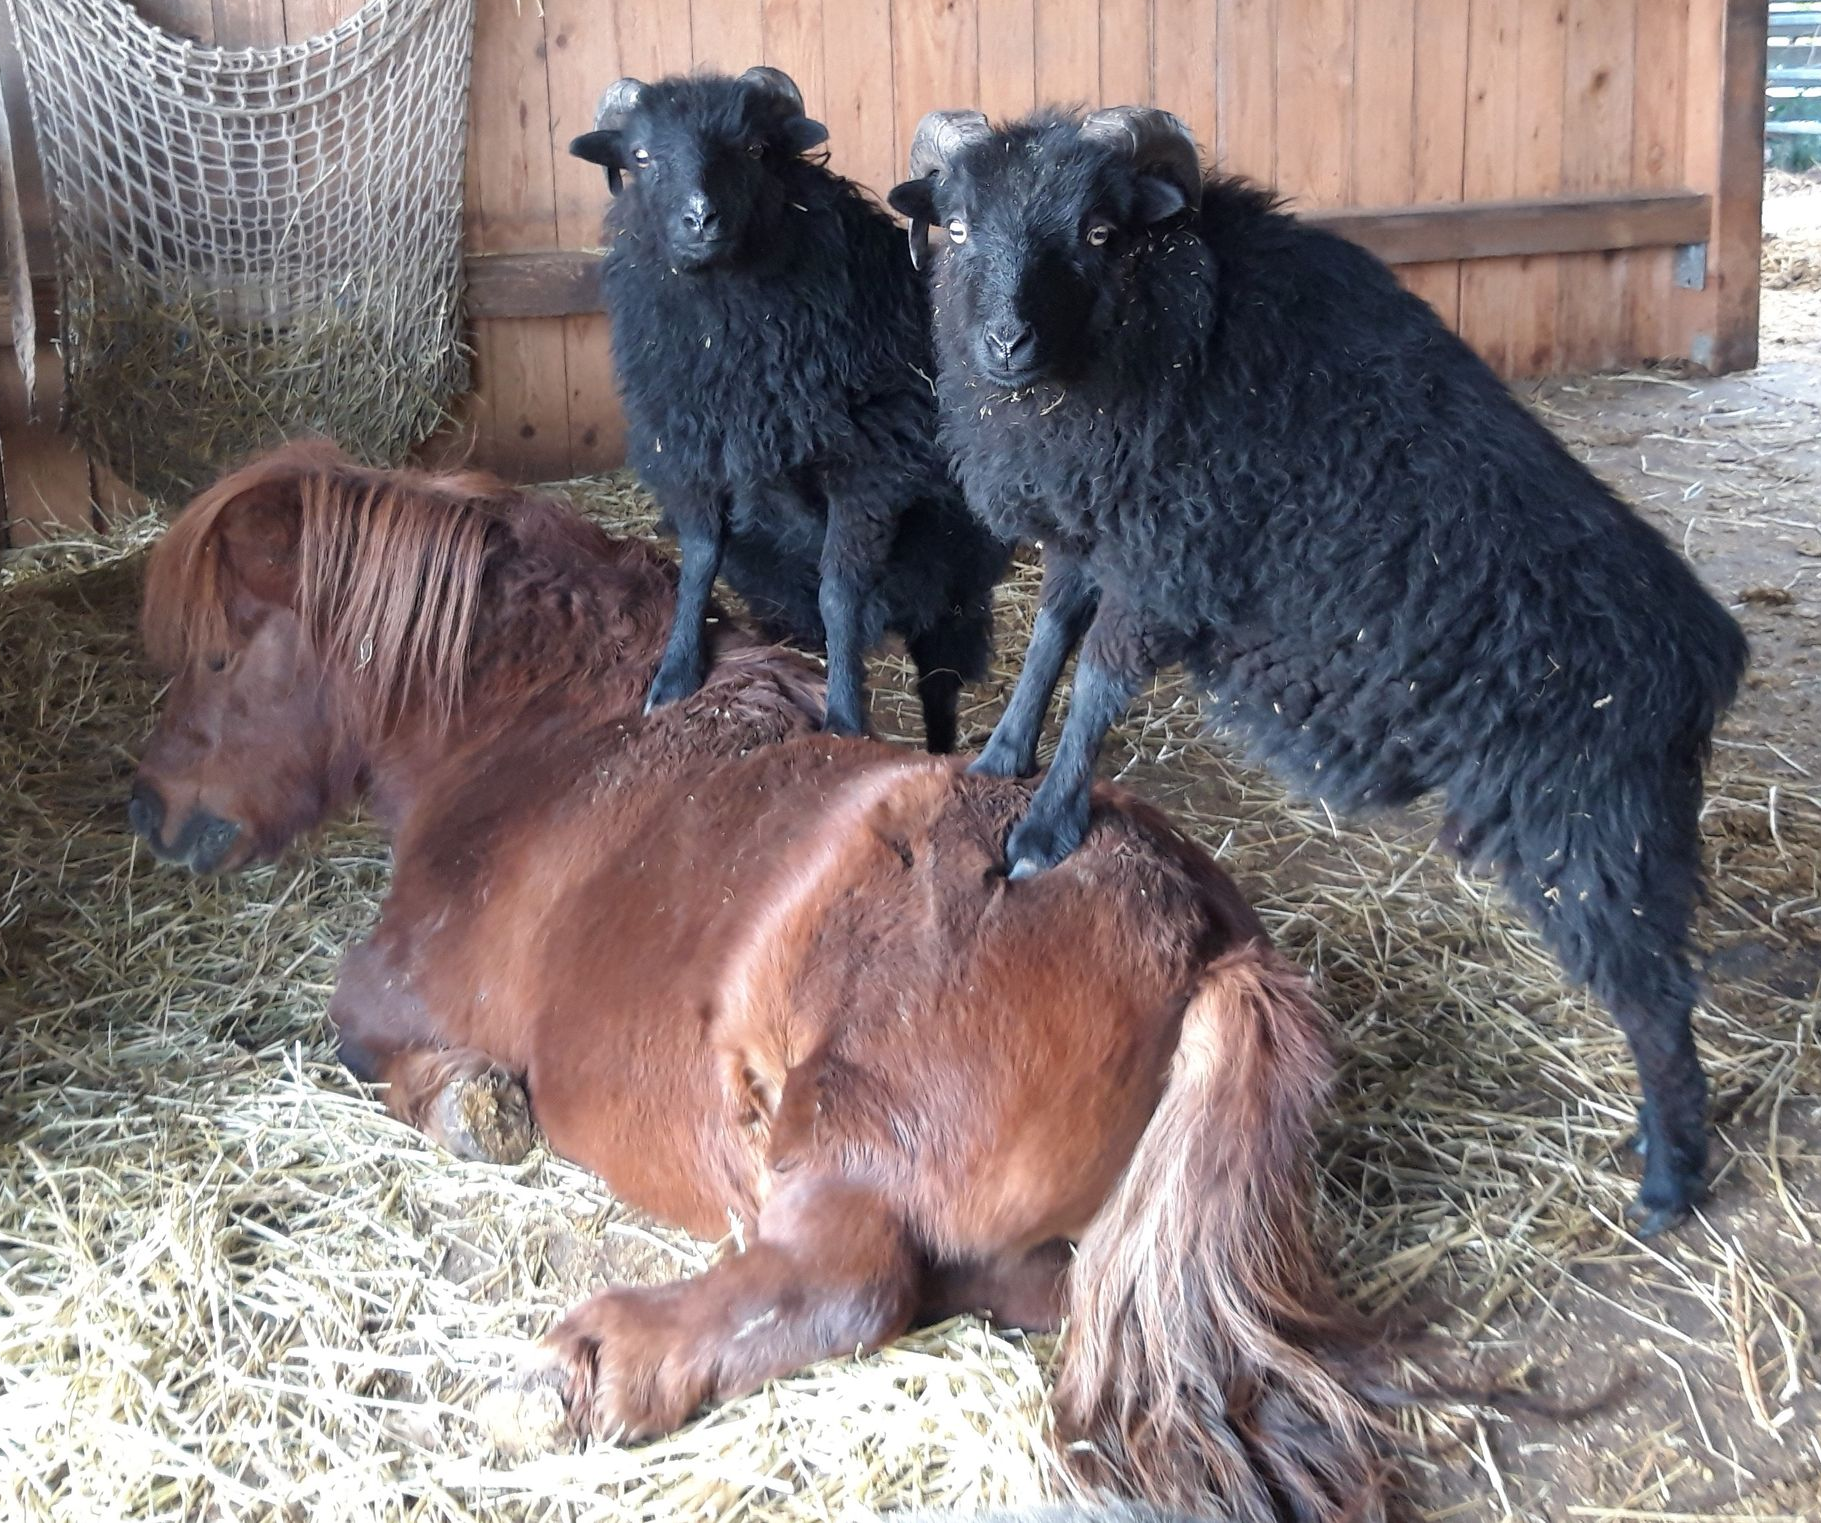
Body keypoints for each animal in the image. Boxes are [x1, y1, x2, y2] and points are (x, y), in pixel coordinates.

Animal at [567, 68, 1009, 751]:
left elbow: (840, 593)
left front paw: (845, 721)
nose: (701, 218)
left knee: (939, 676)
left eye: (754, 149)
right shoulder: (691, 453)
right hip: (772, 580)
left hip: (952, 569)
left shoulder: (871, 470)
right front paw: (673, 677)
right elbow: (698, 564)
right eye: (640, 157)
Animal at [887, 108, 1749, 1235]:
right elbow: (1047, 636)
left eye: (1100, 234)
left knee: (1656, 1000)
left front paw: (1044, 828)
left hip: (1587, 825)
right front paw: (996, 758)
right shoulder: (1095, 531)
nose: (1005, 345)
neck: (1167, 324)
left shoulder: (1167, 556)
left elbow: (1101, 683)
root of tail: (1704, 661)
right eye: (954, 226)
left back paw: (1668, 1179)